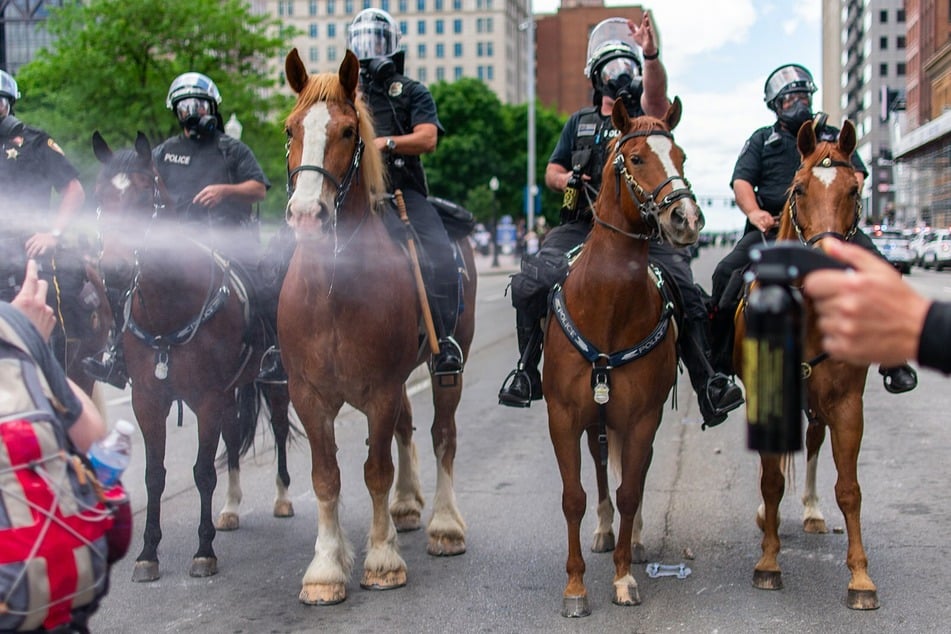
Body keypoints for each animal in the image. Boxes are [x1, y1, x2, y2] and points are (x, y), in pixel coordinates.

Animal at [94, 131, 294, 580]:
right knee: (234, 436)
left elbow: (202, 472)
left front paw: (204, 550)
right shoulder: (148, 400)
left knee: (277, 431)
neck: (169, 309)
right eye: (100, 199)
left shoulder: (206, 398)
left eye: (144, 197)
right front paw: (148, 552)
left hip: (271, 382)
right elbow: (154, 475)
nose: (113, 270)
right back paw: (231, 507)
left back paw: (282, 498)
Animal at [280, 49, 476, 604]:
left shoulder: (381, 389)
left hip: (446, 365)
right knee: (408, 428)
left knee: (442, 434)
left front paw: (382, 558)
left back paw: (444, 525)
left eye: (348, 131)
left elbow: (376, 471)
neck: (334, 285)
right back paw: (407, 506)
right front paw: (326, 567)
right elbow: (327, 476)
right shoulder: (308, 395)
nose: (306, 214)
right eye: (290, 129)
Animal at [540, 96, 704, 616]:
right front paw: (575, 587)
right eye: (635, 158)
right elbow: (573, 496)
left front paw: (624, 576)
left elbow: (631, 491)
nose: (686, 219)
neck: (608, 304)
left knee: (635, 476)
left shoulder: (642, 417)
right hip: (594, 418)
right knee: (597, 468)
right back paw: (603, 529)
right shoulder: (563, 415)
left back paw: (633, 537)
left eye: (682, 157)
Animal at [736, 117, 876, 608]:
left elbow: (849, 490)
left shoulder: (848, 402)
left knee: (814, 439)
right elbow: (771, 480)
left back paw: (813, 509)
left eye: (855, 190)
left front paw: (860, 577)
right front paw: (767, 561)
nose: (827, 266)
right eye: (798, 189)